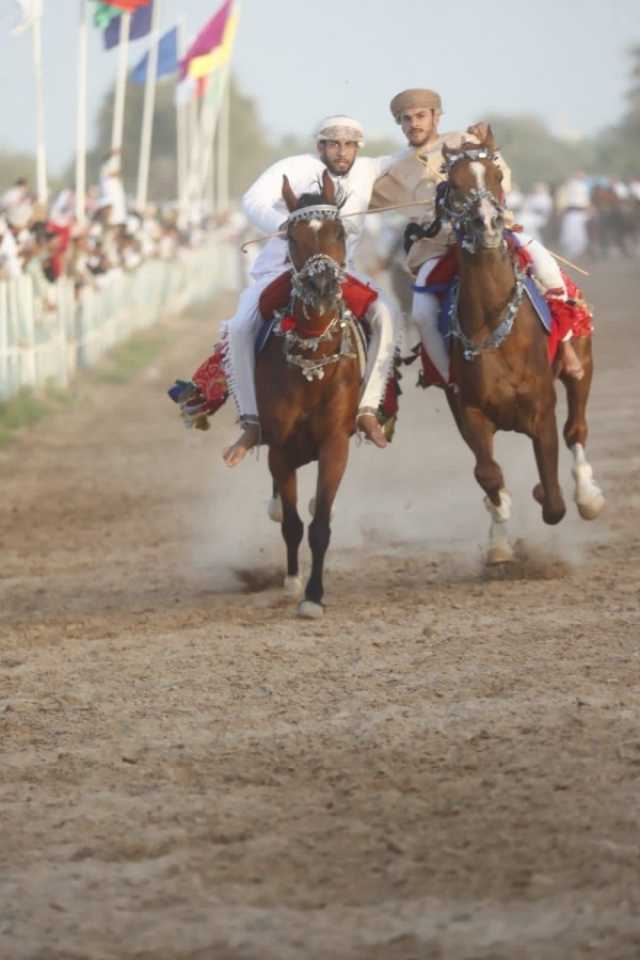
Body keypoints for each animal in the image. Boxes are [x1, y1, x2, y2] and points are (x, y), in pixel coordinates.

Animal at [432, 131, 604, 560]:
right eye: (452, 184)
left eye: (496, 176)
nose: (488, 223)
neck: (496, 327)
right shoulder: (471, 411)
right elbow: (488, 473)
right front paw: (499, 540)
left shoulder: (541, 407)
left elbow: (555, 500)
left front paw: (552, 494)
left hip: (582, 363)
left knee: (576, 429)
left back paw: (588, 497)